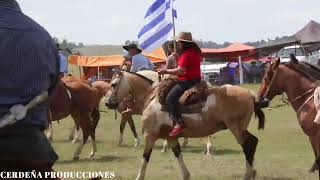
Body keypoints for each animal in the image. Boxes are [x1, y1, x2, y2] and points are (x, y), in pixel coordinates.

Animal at [105, 70, 264, 180]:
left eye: (113, 84)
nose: (107, 103)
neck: (151, 97)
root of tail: (249, 93)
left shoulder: (150, 135)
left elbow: (145, 157)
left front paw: (139, 176)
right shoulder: (171, 137)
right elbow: (178, 155)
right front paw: (186, 175)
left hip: (236, 128)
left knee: (249, 144)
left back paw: (248, 174)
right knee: (253, 142)